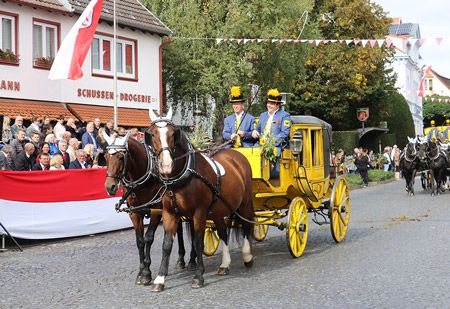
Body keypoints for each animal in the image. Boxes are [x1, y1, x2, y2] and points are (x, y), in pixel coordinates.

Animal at [103, 130, 195, 284]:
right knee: (179, 230)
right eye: (105, 157)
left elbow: (148, 238)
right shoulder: (134, 213)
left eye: (121, 157)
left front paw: (146, 272)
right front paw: (141, 271)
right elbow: (140, 241)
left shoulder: (156, 211)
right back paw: (181, 259)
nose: (110, 187)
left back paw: (193, 260)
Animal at [147, 109, 255, 292]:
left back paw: (248, 257)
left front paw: (198, 276)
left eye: (173, 134)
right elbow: (167, 244)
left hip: (244, 203)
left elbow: (198, 243)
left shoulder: (199, 213)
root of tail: (236, 155)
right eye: (152, 134)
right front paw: (160, 279)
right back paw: (224, 265)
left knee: (246, 226)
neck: (182, 177)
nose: (166, 165)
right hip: (219, 209)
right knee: (223, 232)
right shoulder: (169, 213)